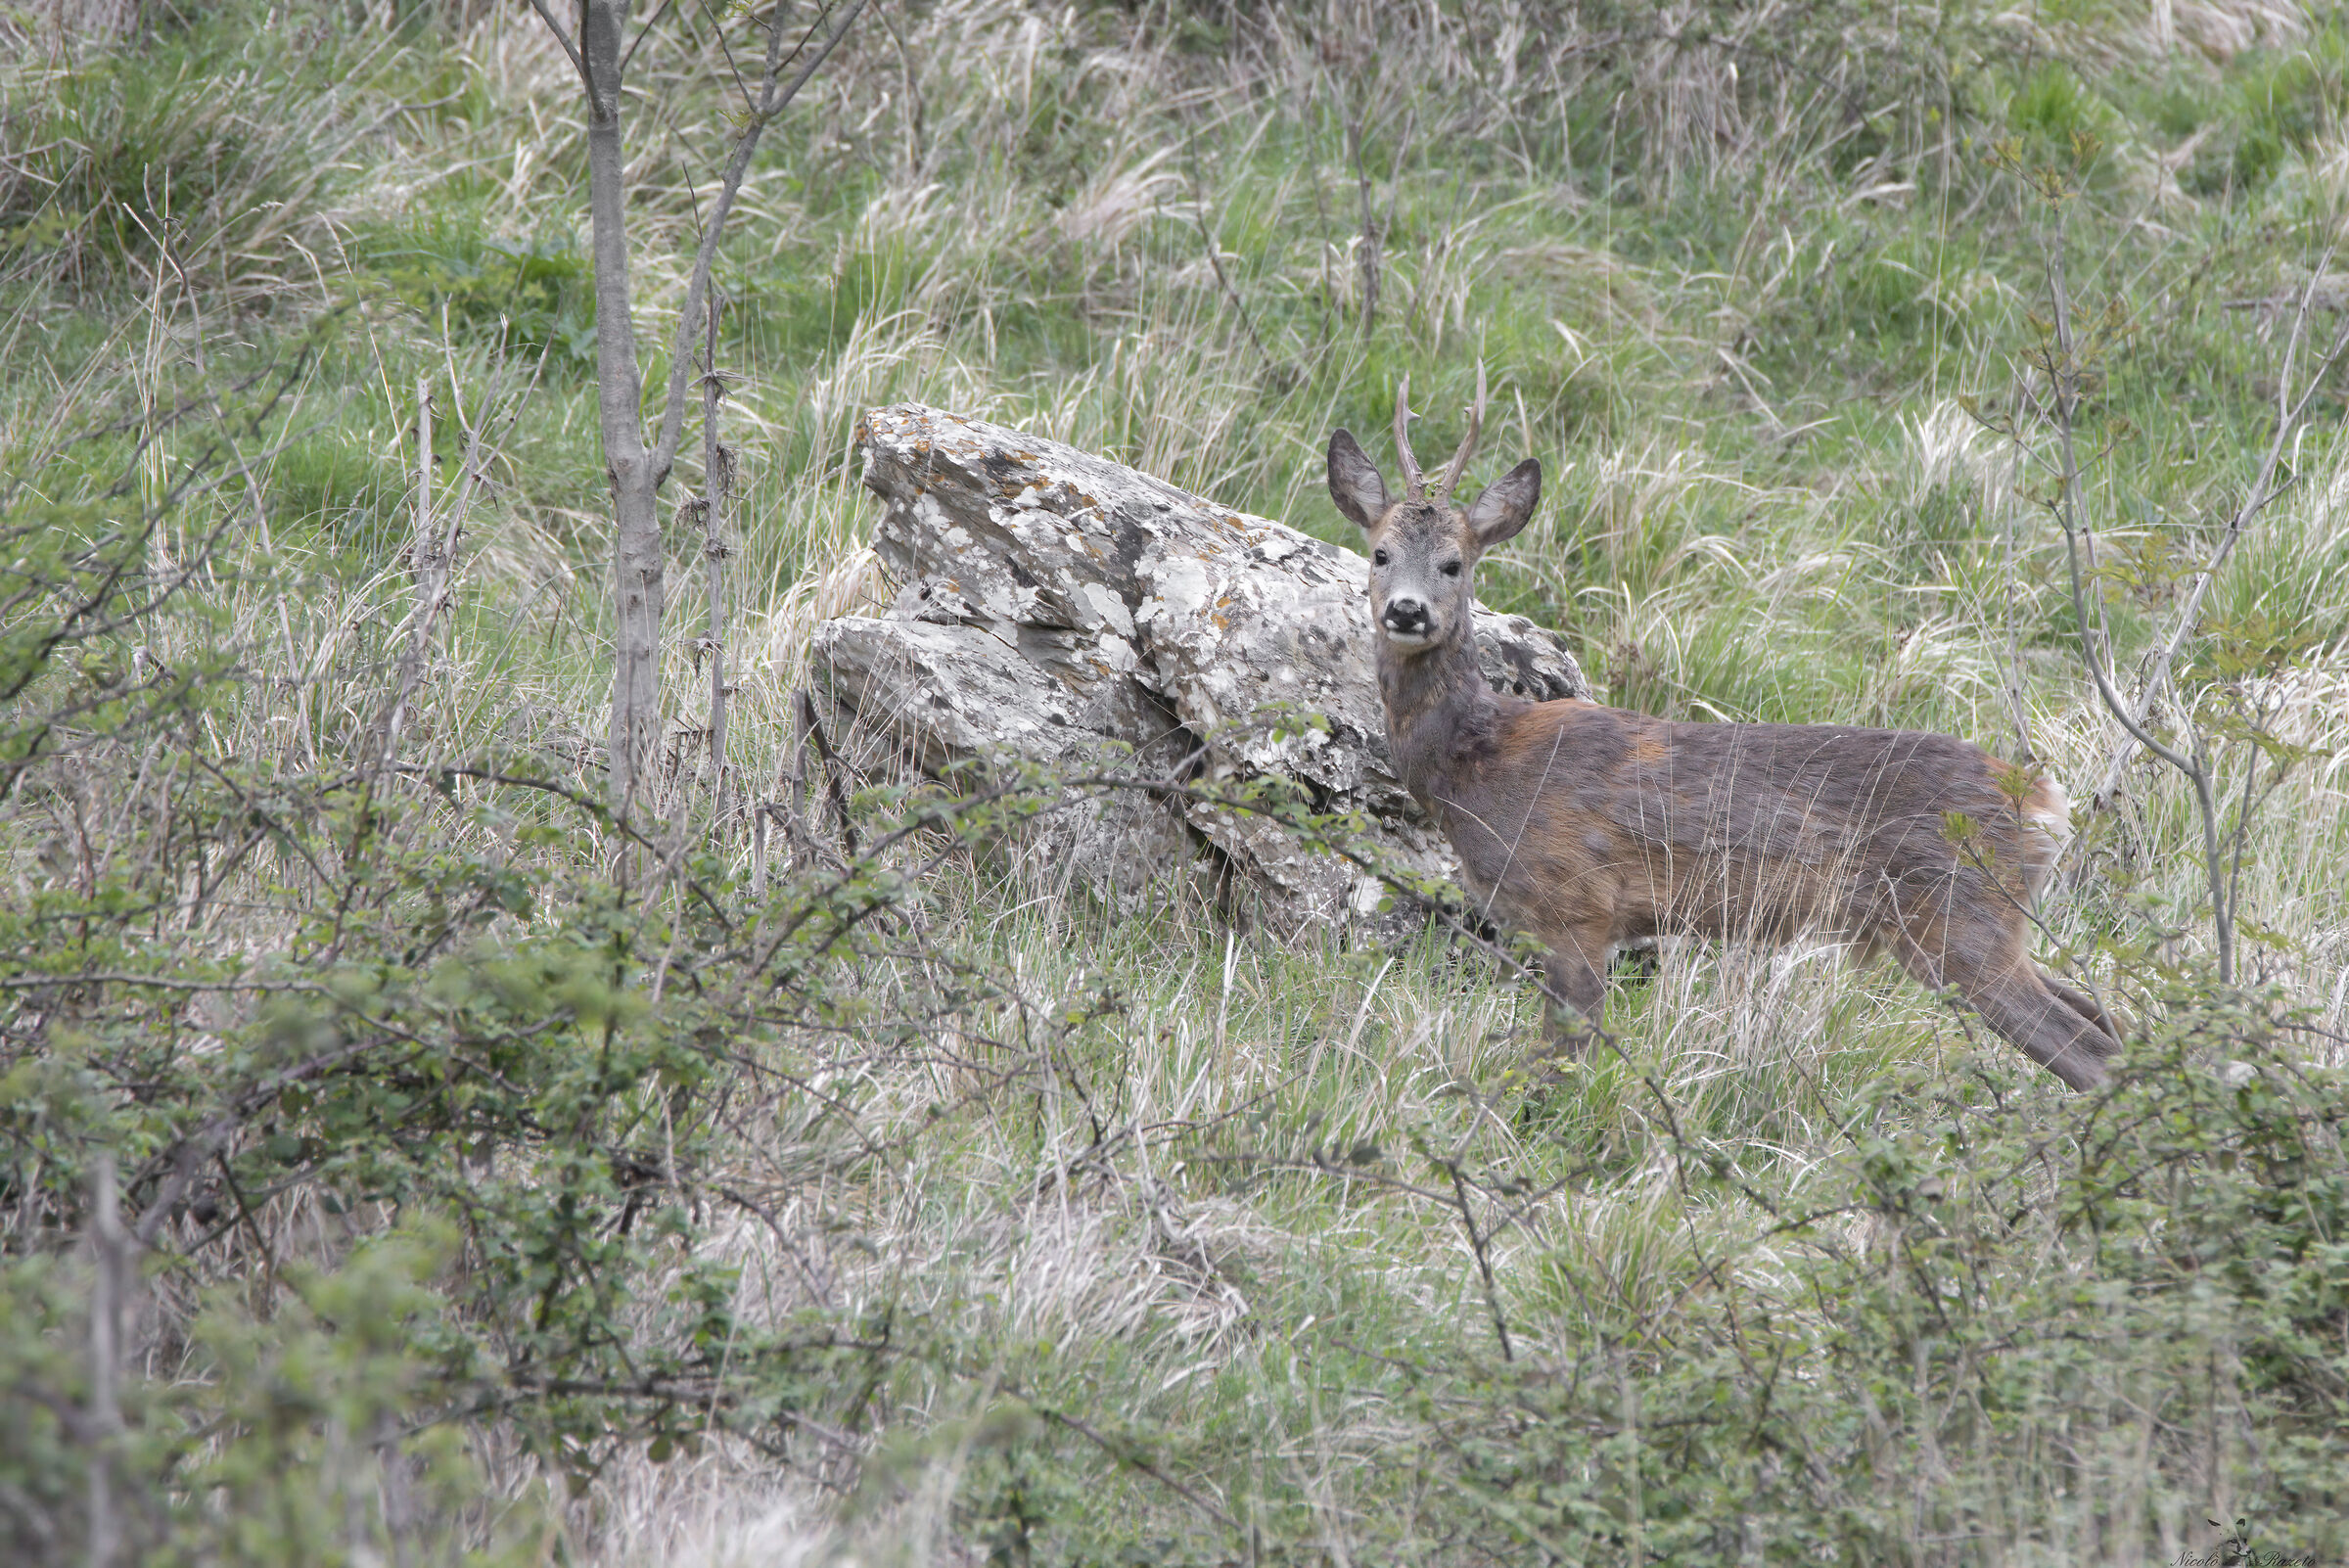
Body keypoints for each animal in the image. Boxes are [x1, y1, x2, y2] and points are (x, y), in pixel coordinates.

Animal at [1325, 373, 2121, 1091]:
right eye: (1379, 553)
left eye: (1455, 563)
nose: (1406, 610)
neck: (1480, 763)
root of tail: (2048, 804)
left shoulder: (1577, 906)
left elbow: (1561, 1055)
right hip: (1988, 928)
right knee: (2104, 1016)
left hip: (1961, 922)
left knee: (2087, 1049)